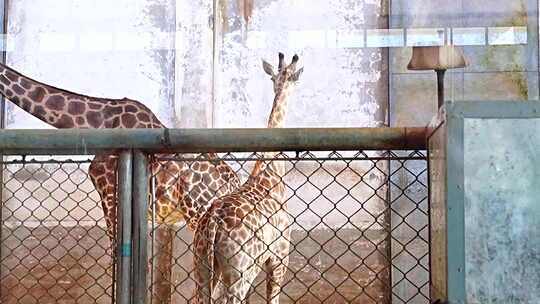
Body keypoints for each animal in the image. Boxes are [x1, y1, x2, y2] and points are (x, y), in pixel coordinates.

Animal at [193, 54, 304, 304]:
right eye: (294, 78)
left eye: (276, 77)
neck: (270, 172)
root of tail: (213, 222)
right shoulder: (279, 258)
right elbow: (273, 299)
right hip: (240, 271)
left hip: (203, 265)